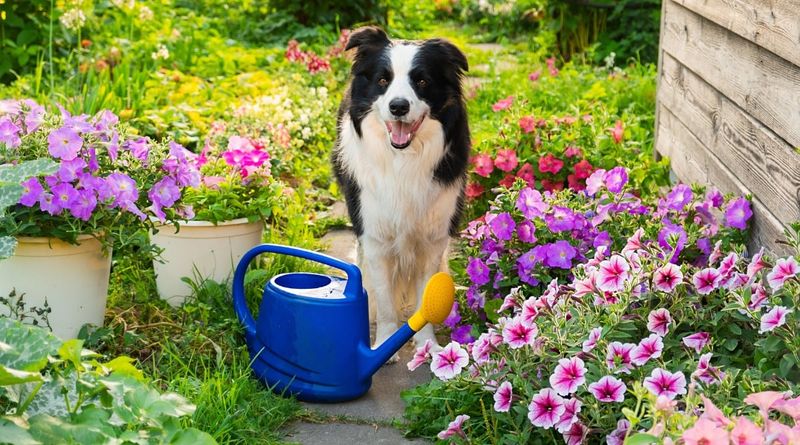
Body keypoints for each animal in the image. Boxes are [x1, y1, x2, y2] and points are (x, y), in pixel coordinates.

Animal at [332, 26, 468, 354]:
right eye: (383, 80)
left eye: (422, 81)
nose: (398, 107)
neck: (403, 159)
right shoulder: (375, 235)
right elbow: (385, 299)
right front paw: (384, 342)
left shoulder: (432, 238)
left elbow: (425, 297)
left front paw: (427, 344)